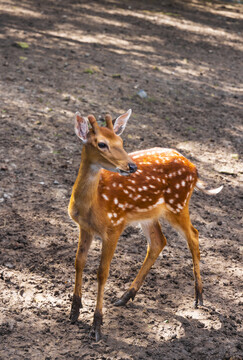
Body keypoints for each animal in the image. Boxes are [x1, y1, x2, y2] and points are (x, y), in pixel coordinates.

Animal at [68, 109, 222, 340]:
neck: (93, 204)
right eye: (102, 144)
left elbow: (102, 272)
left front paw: (97, 326)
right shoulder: (84, 227)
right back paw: (126, 296)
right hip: (150, 215)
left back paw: (199, 297)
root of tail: (195, 170)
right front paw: (74, 312)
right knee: (159, 241)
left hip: (178, 204)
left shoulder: (115, 226)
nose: (131, 166)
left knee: (194, 235)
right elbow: (79, 262)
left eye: (121, 141)